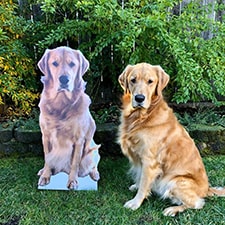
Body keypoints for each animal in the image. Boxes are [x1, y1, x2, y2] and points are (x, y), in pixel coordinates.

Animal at [37, 46, 100, 189]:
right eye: (54, 63)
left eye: (72, 64)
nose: (64, 79)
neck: (61, 104)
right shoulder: (46, 136)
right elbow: (47, 158)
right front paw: (46, 175)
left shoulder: (79, 140)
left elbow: (75, 163)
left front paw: (72, 181)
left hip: (91, 150)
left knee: (92, 165)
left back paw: (94, 174)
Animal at [118, 62, 225, 216]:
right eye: (133, 80)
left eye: (150, 81)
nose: (139, 98)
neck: (142, 116)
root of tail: (207, 189)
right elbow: (140, 177)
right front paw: (136, 186)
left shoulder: (150, 161)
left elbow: (144, 184)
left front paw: (135, 202)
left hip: (175, 181)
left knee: (197, 203)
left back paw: (172, 209)